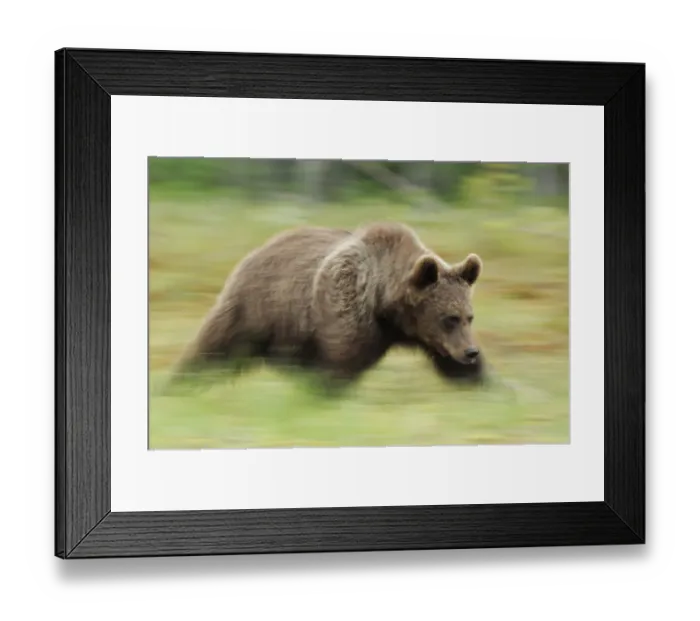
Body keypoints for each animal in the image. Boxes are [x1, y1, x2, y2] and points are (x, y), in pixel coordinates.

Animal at [166, 222, 486, 392]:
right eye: (449, 317)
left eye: (469, 317)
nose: (471, 352)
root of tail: (258, 249)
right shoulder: (347, 308)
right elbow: (339, 365)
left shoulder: (427, 335)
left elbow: (453, 366)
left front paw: (483, 385)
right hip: (257, 307)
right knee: (213, 349)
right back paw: (175, 386)